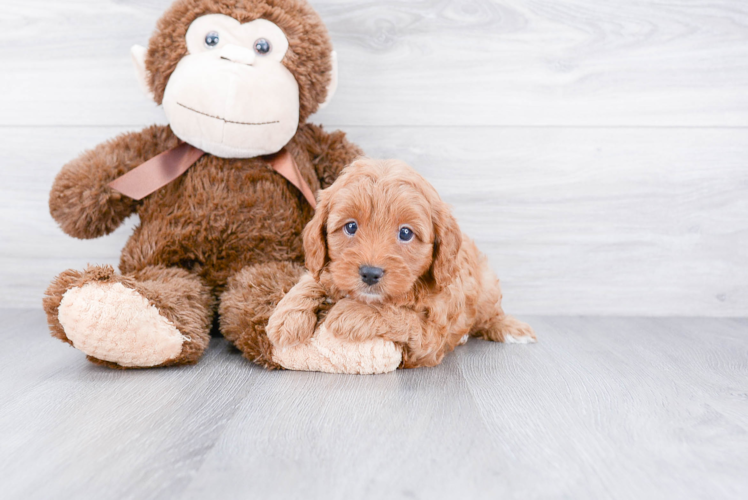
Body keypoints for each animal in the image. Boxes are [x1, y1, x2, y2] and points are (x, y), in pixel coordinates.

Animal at [266, 158, 536, 370]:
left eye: (405, 233)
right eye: (351, 226)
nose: (370, 273)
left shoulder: (430, 336)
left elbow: (401, 316)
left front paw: (351, 312)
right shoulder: (330, 270)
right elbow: (311, 279)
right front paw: (286, 317)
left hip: (487, 288)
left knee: (490, 315)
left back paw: (510, 328)